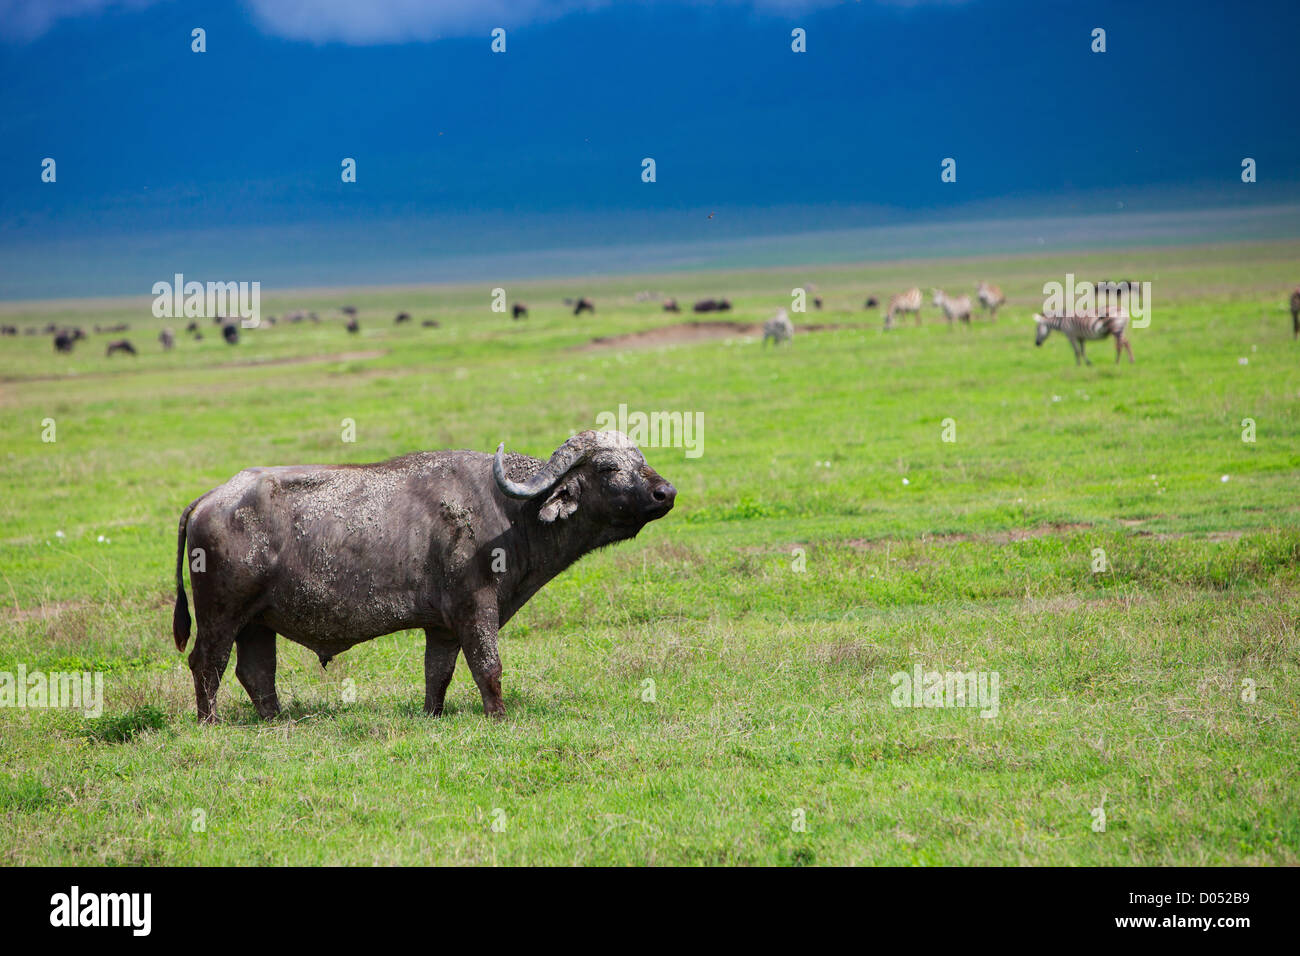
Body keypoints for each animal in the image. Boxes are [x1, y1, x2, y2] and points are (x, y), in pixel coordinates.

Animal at [171, 429, 676, 723]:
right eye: (609, 467)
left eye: (642, 460)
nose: (665, 491)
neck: (511, 511)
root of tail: (208, 499)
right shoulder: (476, 608)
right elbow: (488, 667)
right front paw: (498, 716)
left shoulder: (442, 628)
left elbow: (439, 675)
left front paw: (434, 715)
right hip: (222, 615)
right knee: (206, 664)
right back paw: (209, 722)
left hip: (257, 623)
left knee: (255, 672)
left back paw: (277, 720)